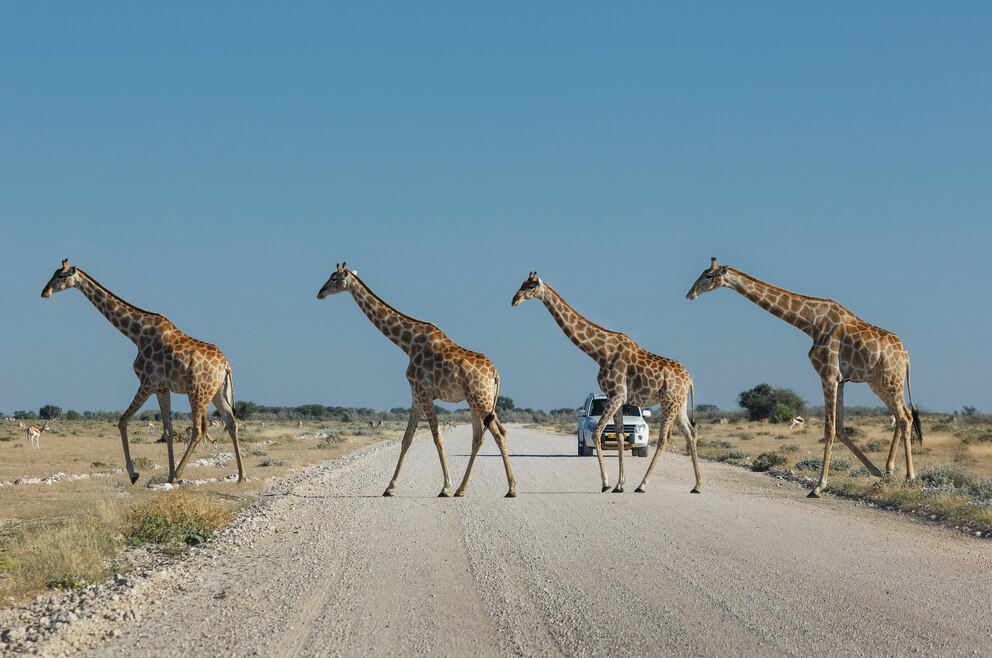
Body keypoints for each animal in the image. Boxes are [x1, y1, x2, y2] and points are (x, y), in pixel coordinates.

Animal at [41, 260, 246, 482]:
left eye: (61, 275)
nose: (45, 292)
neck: (136, 334)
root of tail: (226, 366)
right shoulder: (162, 388)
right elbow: (168, 429)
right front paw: (167, 473)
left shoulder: (147, 382)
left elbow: (122, 421)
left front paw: (134, 474)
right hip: (217, 393)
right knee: (232, 423)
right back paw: (241, 476)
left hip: (198, 392)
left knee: (199, 430)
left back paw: (179, 474)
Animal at [318, 262, 520, 498]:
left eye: (334, 277)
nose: (320, 293)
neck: (408, 343)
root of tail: (496, 374)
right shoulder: (415, 395)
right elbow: (407, 439)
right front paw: (390, 487)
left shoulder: (424, 392)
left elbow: (437, 437)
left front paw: (445, 487)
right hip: (476, 401)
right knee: (480, 437)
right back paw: (462, 489)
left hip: (481, 399)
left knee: (499, 434)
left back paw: (510, 489)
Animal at [516, 270, 700, 492]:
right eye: (521, 284)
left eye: (530, 286)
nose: (514, 300)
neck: (600, 353)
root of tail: (689, 379)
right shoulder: (618, 397)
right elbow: (619, 437)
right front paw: (619, 484)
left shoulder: (617, 394)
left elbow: (597, 433)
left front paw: (606, 483)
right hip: (679, 403)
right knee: (691, 433)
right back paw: (697, 485)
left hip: (669, 402)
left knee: (664, 439)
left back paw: (642, 485)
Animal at [684, 258, 920, 494]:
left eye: (708, 276)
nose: (690, 294)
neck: (811, 323)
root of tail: (906, 356)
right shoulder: (841, 380)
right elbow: (840, 429)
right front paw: (875, 471)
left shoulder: (828, 374)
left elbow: (829, 429)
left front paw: (819, 486)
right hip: (877, 382)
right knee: (902, 416)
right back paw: (889, 470)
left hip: (891, 379)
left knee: (905, 418)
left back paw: (910, 477)